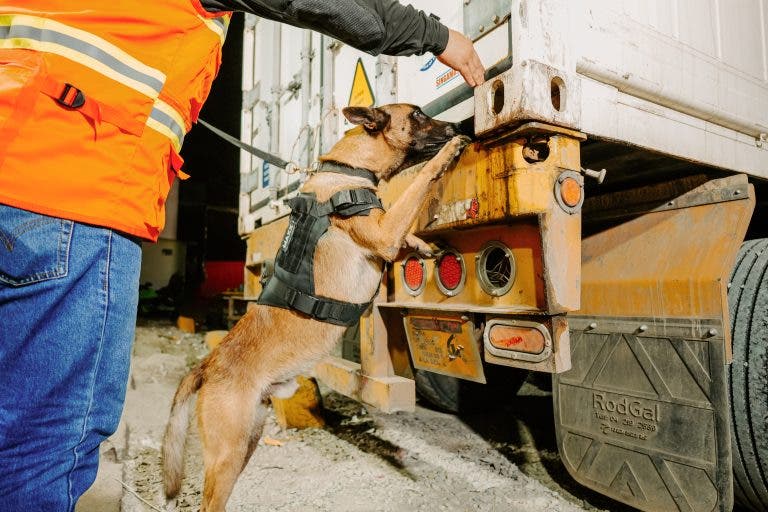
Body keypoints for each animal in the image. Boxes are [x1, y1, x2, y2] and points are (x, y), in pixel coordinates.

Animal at [164, 104, 468, 512]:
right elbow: (416, 187)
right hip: (227, 453)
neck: (348, 169)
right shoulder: (384, 233)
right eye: (418, 115)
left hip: (248, 439)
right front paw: (449, 151)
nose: (457, 124)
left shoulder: (388, 234)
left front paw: (422, 245)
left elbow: (406, 229)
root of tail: (208, 365)